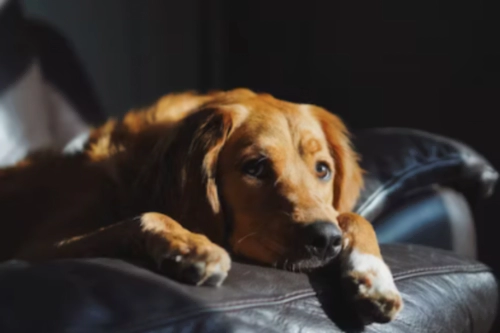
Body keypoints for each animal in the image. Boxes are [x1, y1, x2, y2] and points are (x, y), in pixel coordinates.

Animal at [0, 87, 402, 322]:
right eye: (255, 167)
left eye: (323, 170)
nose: (325, 240)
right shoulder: (42, 247)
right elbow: (147, 215)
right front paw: (192, 247)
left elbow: (354, 217)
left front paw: (374, 277)